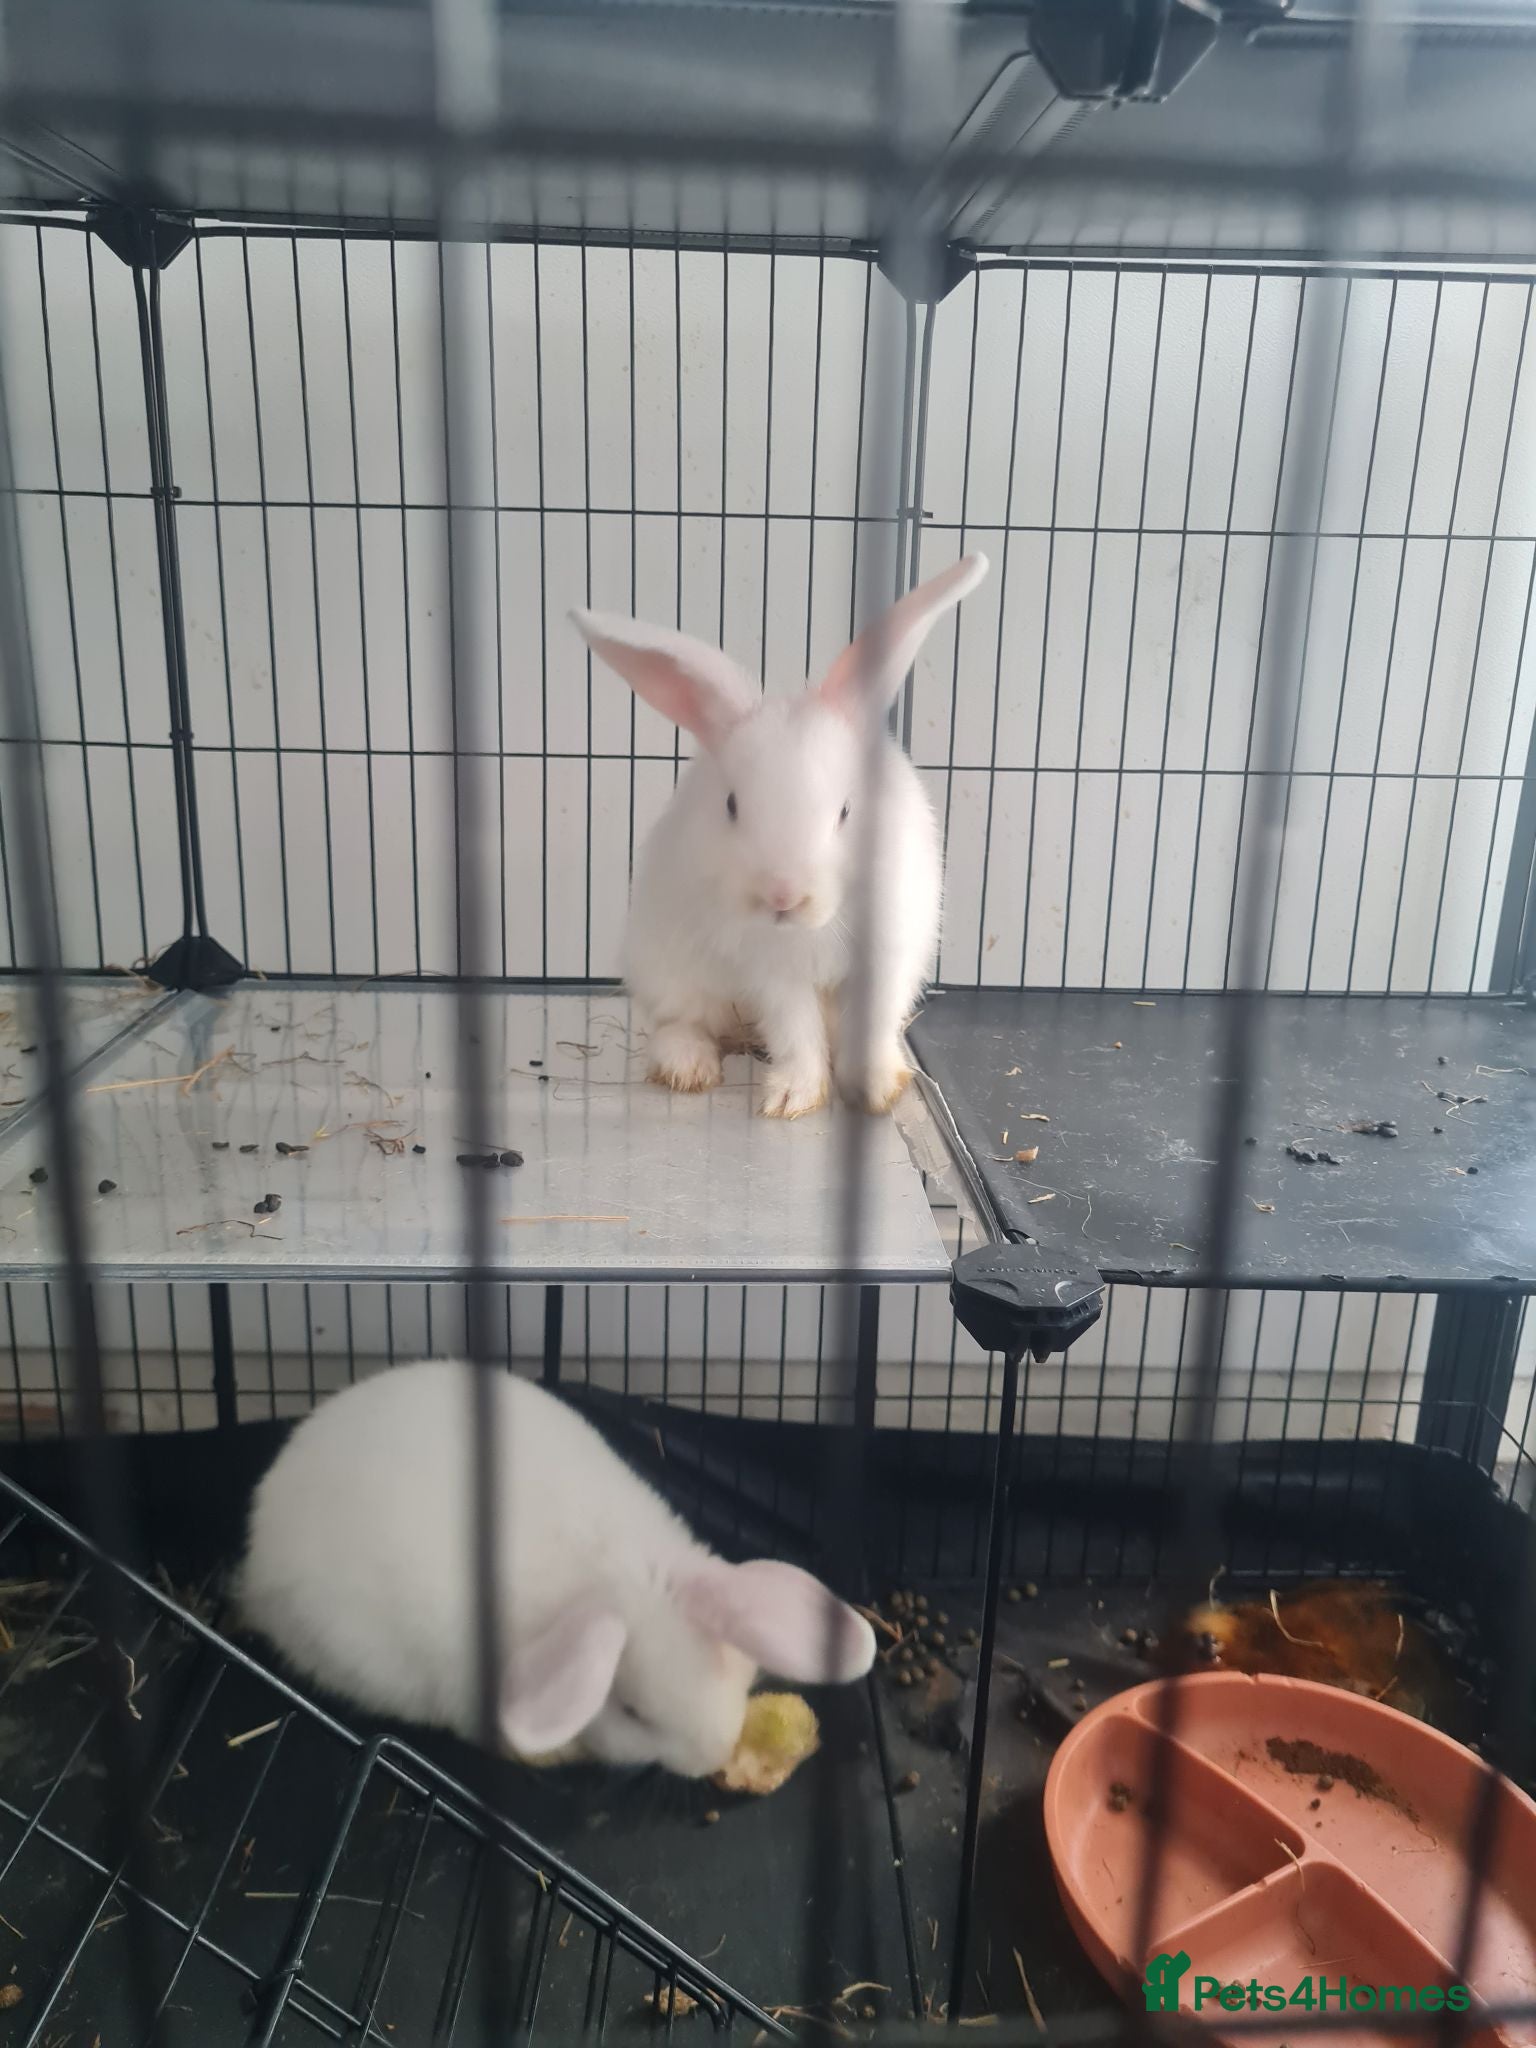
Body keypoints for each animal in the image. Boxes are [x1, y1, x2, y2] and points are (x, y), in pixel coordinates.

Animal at [572, 554, 990, 1119]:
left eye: (846, 810)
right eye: (731, 805)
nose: (783, 896)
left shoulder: (887, 957)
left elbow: (873, 1026)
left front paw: (876, 1088)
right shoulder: (774, 973)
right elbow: (795, 1031)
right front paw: (794, 1097)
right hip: (668, 967)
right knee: (681, 1023)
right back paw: (688, 1068)